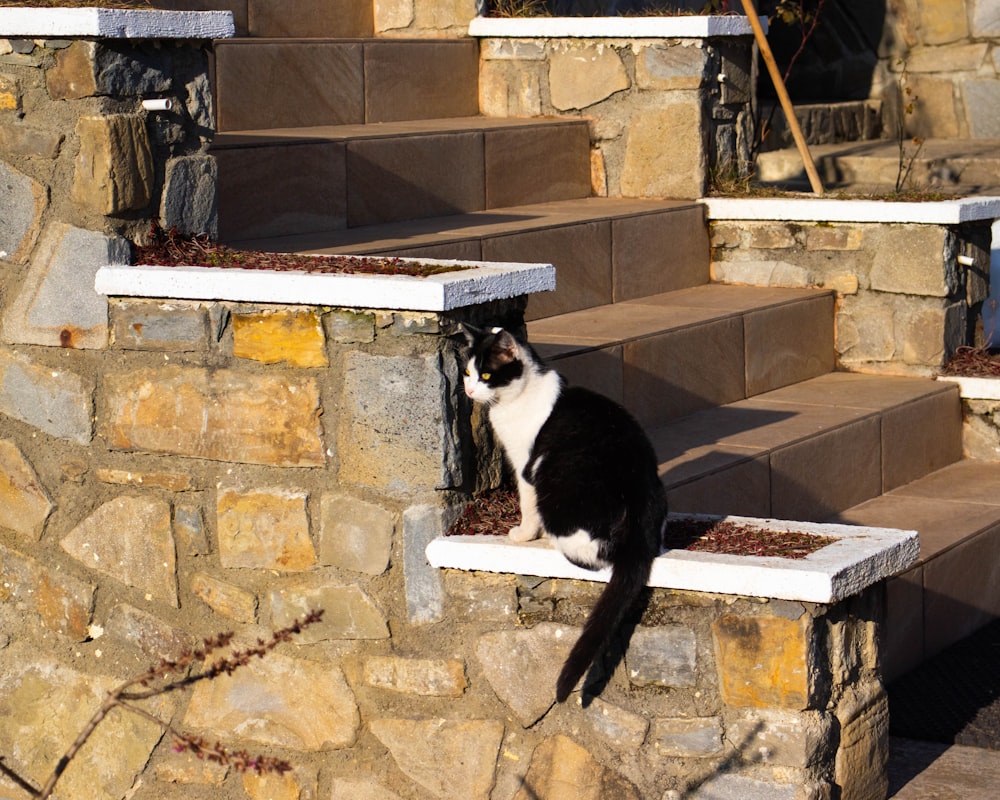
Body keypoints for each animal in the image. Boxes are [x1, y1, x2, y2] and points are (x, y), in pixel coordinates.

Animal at [458, 324, 664, 700]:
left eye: (487, 375)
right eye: (467, 372)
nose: (468, 389)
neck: (517, 398)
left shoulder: (526, 465)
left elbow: (526, 504)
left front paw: (523, 534)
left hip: (555, 483)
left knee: (588, 555)